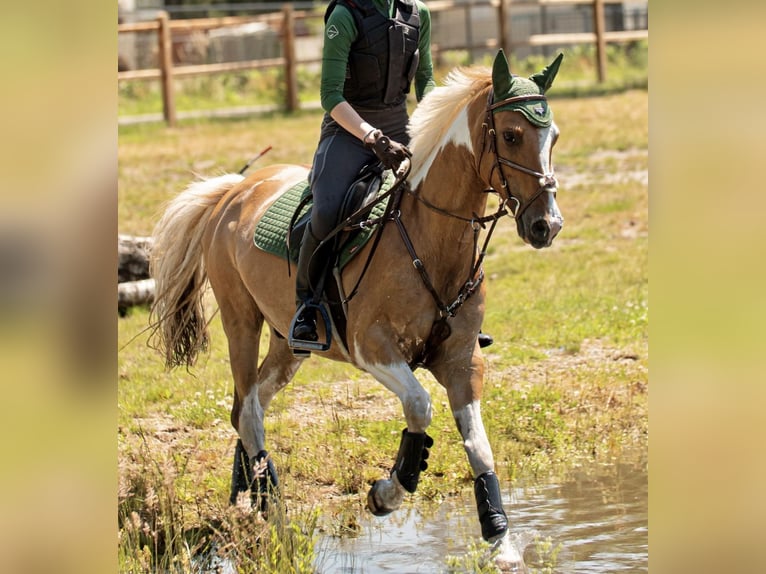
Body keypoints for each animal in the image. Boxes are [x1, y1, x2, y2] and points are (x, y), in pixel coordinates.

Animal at [150, 50, 568, 572]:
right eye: (510, 134)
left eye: (553, 137)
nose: (546, 225)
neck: (430, 237)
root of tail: (235, 190)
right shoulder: (373, 348)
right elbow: (419, 407)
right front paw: (390, 490)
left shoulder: (463, 361)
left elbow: (480, 448)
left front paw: (502, 542)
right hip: (240, 322)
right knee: (247, 411)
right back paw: (276, 520)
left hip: (288, 345)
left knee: (245, 408)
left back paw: (246, 497)